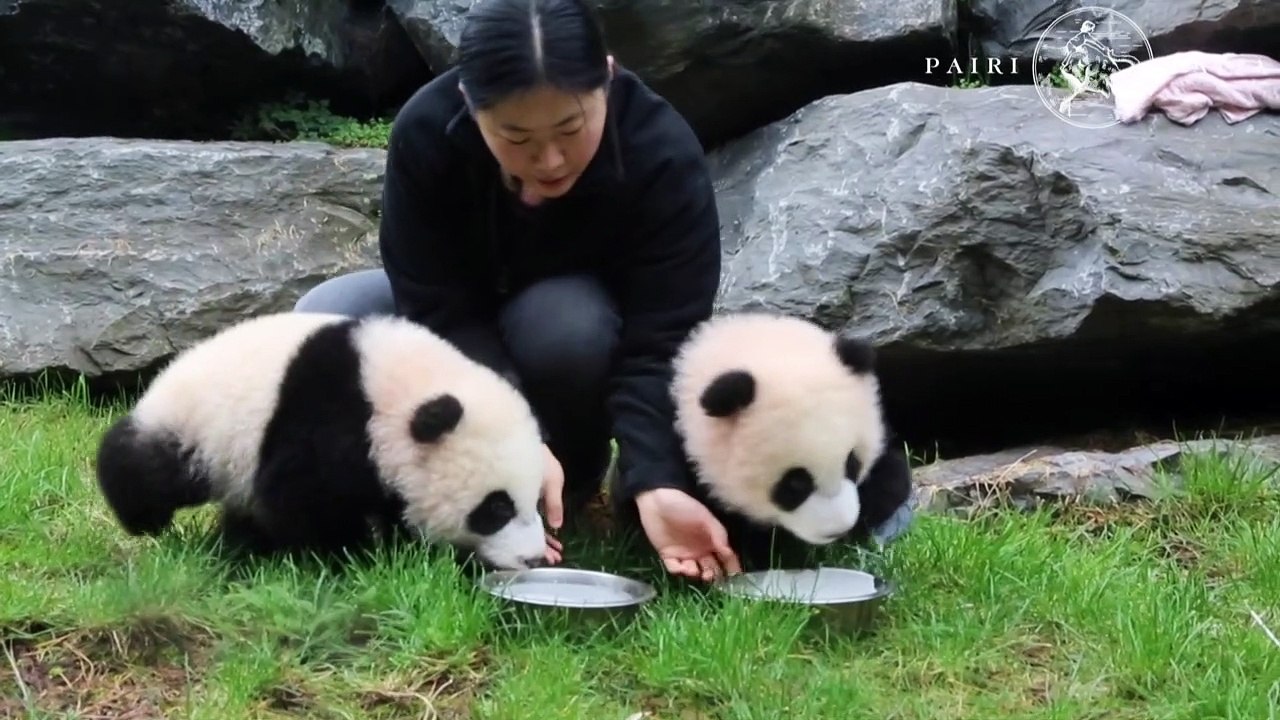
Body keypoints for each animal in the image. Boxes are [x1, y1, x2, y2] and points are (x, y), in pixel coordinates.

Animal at [94, 311, 551, 571]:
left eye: (536, 500)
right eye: (496, 508)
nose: (533, 558)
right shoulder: (326, 417)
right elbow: (299, 500)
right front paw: (350, 557)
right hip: (197, 426)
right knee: (147, 466)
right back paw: (145, 519)